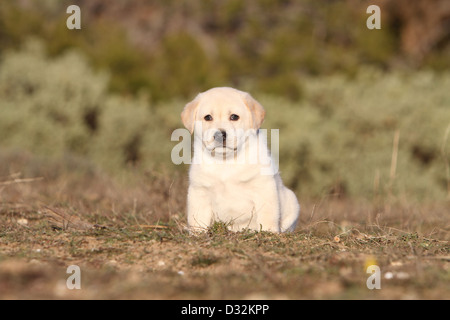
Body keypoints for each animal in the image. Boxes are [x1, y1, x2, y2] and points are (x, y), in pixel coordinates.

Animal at [179, 87, 298, 232]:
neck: (226, 161)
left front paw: (269, 233)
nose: (219, 135)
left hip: (292, 200)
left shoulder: (264, 188)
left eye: (234, 117)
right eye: (208, 117)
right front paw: (197, 233)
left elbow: (267, 215)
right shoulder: (199, 190)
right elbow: (197, 218)